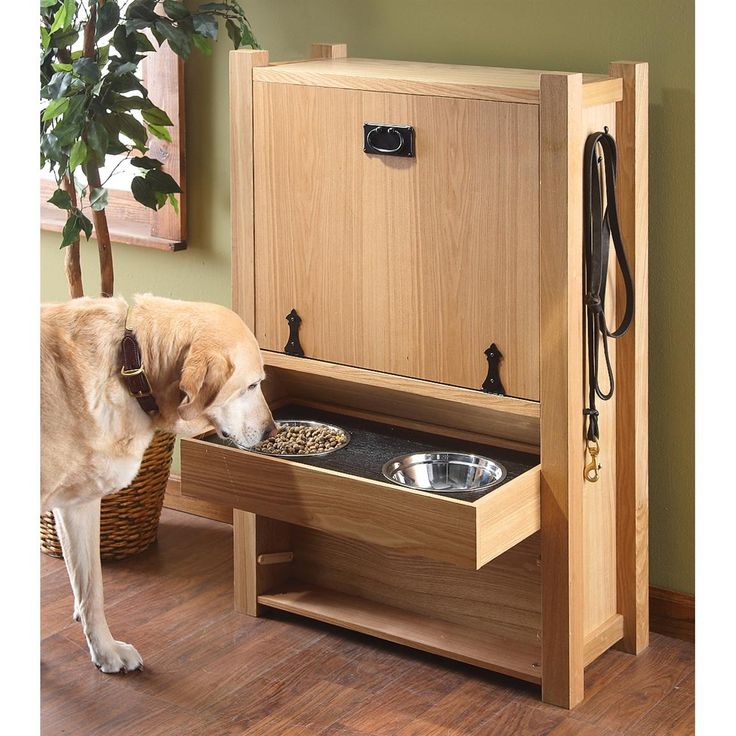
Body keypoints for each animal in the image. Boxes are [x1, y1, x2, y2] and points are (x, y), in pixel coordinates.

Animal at [41, 294, 276, 672]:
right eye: (252, 385)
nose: (273, 431)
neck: (128, 362)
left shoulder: (77, 504)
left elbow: (92, 587)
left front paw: (105, 650)